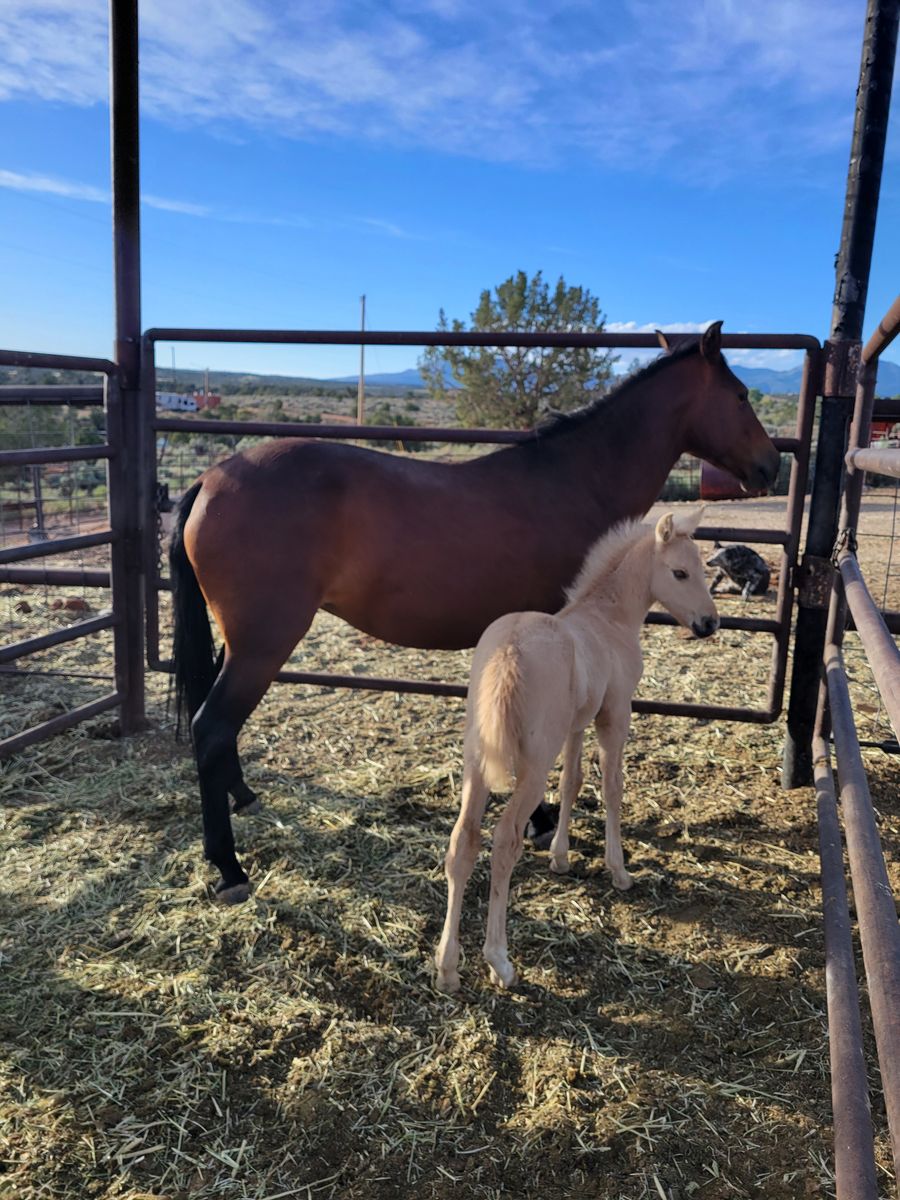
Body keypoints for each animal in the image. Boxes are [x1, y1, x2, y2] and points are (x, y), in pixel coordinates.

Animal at [169, 321, 779, 902]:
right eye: (741, 394)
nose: (771, 466)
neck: (576, 480)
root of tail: (210, 479)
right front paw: (541, 822)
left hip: (242, 642)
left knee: (215, 722)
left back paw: (245, 797)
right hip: (265, 643)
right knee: (212, 726)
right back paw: (228, 868)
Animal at [434, 508, 717, 993]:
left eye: (702, 568)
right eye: (680, 573)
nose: (709, 623)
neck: (608, 618)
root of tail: (508, 651)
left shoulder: (576, 725)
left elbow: (572, 783)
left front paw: (561, 857)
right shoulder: (615, 715)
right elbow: (611, 787)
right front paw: (619, 871)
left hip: (477, 759)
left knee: (462, 841)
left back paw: (448, 968)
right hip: (532, 764)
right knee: (505, 840)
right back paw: (500, 962)